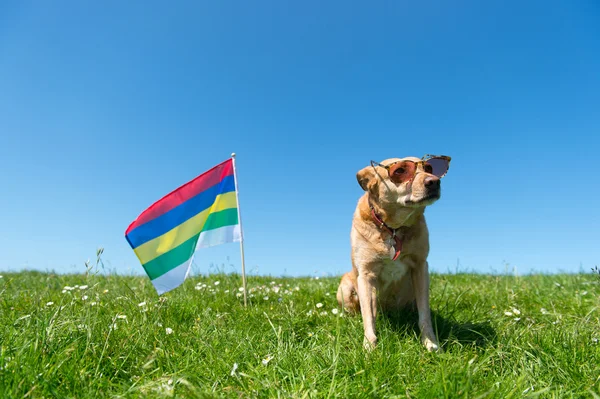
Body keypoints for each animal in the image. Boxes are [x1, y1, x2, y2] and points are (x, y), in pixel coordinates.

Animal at [336, 155, 452, 352]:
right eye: (400, 171)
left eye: (429, 168)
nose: (434, 181)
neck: (393, 228)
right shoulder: (366, 275)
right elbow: (368, 317)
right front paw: (369, 347)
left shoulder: (421, 268)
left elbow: (425, 316)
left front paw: (430, 343)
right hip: (345, 287)